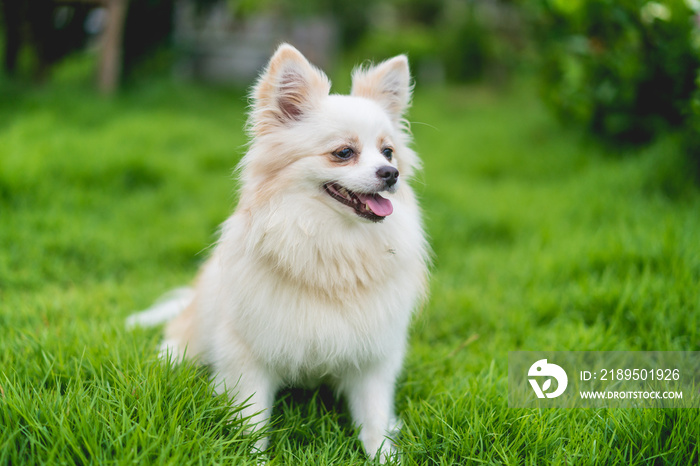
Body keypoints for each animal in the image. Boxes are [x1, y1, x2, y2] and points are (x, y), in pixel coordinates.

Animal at [129, 43, 430, 462]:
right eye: (344, 152)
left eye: (388, 152)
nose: (391, 173)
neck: (334, 245)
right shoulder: (249, 358)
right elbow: (253, 423)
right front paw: (252, 458)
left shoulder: (372, 361)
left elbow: (374, 420)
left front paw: (383, 456)